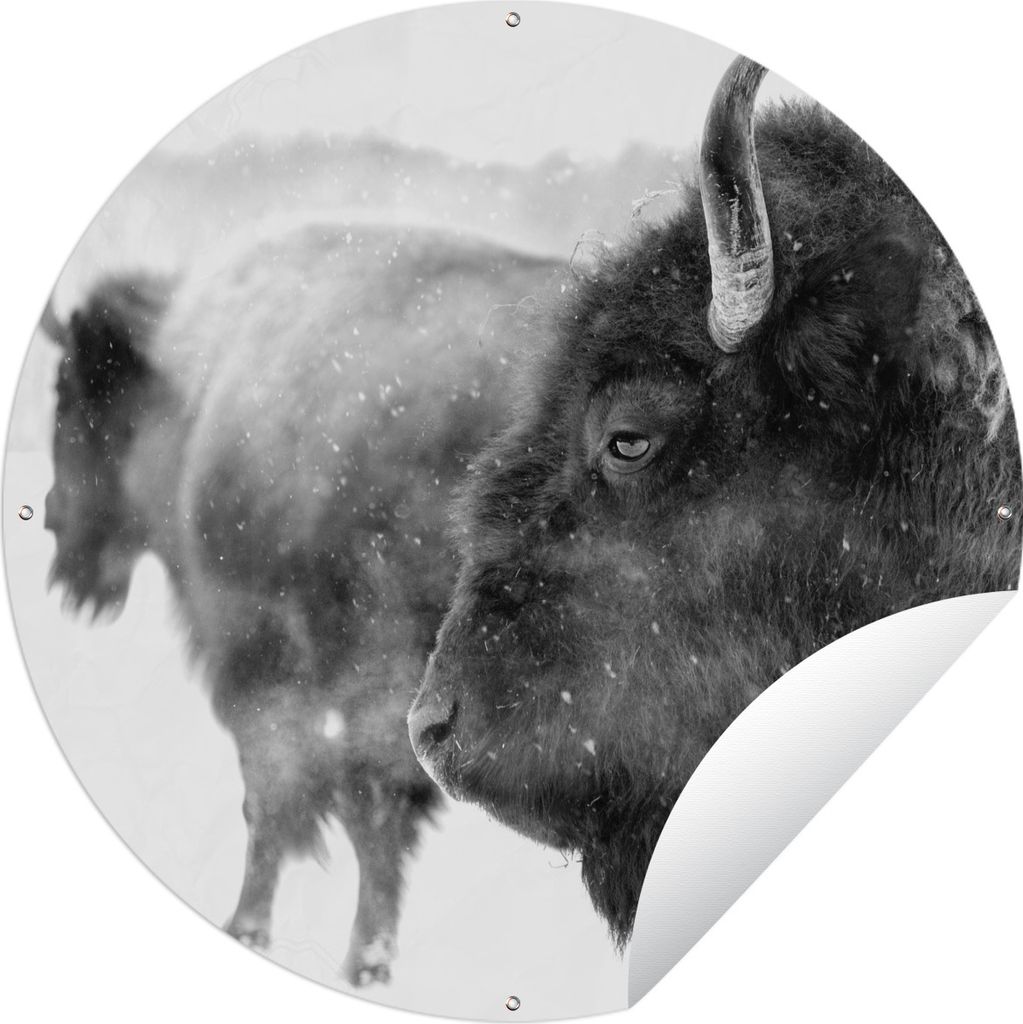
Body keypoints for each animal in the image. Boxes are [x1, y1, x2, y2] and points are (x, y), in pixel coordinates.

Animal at [43, 224, 558, 983]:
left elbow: (295, 791)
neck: (199, 385)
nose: (54, 522)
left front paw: (283, 936)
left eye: (72, 397)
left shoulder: (274, 649)